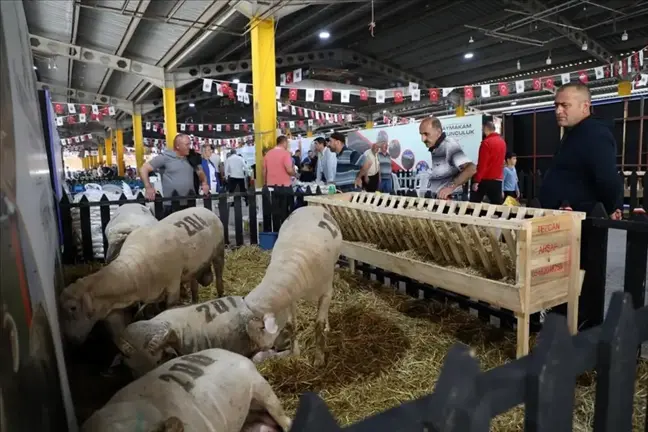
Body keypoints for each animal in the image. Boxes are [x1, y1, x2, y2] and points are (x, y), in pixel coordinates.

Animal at [243, 205, 344, 364]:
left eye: (261, 327)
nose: (262, 349)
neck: (291, 262)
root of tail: (311, 206)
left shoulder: (326, 293)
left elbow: (319, 325)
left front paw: (319, 359)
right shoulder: (290, 297)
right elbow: (292, 325)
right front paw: (295, 353)